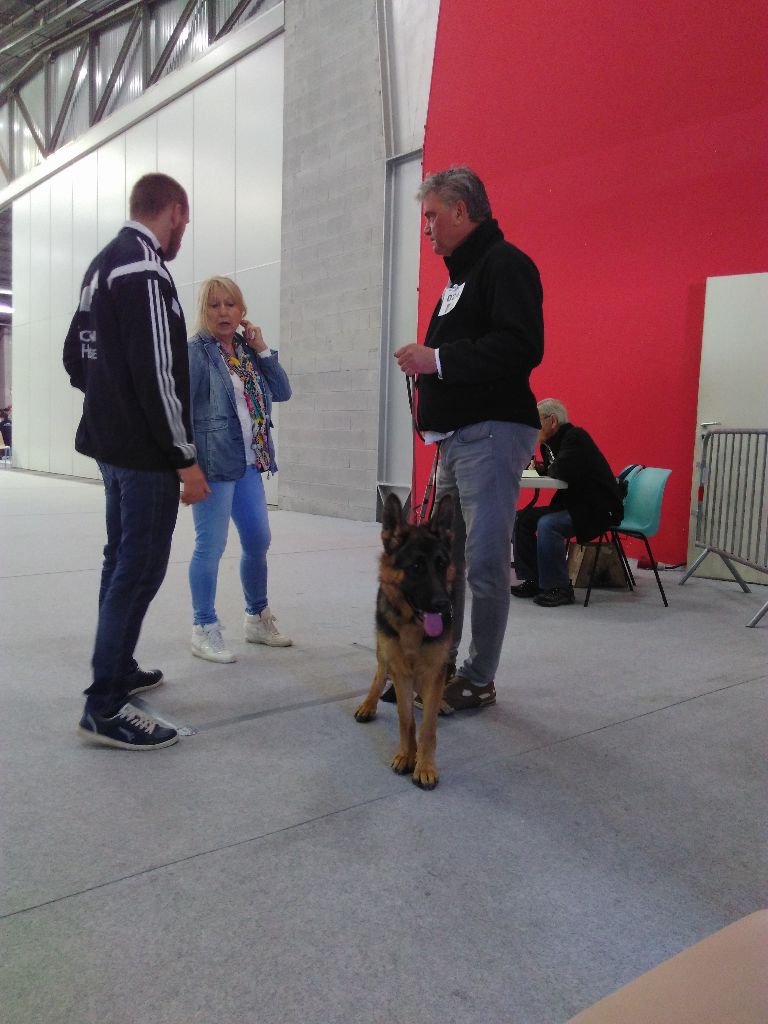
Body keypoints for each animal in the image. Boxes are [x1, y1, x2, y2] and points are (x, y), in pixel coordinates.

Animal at [356, 491, 456, 786]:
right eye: (416, 566)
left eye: (442, 565)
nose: (444, 605)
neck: (414, 627)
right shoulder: (401, 671)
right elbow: (406, 719)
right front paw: (406, 756)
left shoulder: (433, 670)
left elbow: (428, 726)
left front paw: (425, 765)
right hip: (384, 654)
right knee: (379, 675)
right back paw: (369, 704)